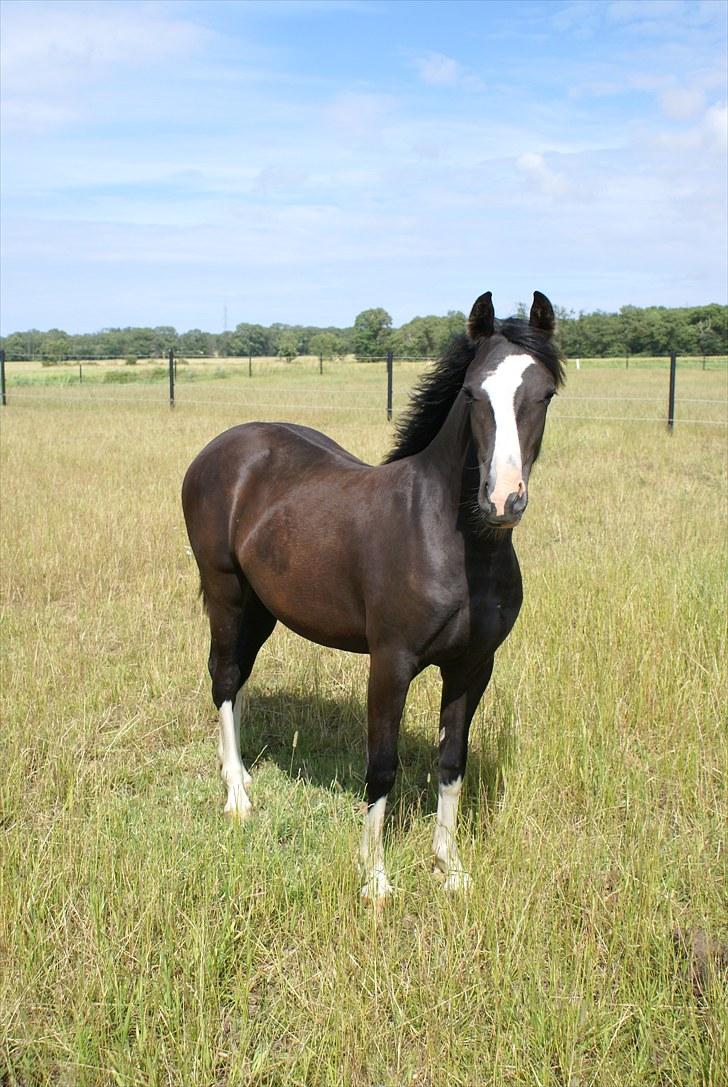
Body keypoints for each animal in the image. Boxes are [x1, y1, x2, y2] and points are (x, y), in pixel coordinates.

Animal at [182, 290, 564, 901]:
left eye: (544, 393)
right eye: (471, 393)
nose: (502, 500)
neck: (451, 542)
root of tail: (219, 449)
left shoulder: (473, 665)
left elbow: (451, 762)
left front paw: (450, 868)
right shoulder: (391, 663)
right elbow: (381, 765)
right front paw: (375, 880)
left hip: (263, 610)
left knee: (236, 678)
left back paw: (237, 773)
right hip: (227, 596)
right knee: (223, 677)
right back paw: (238, 797)